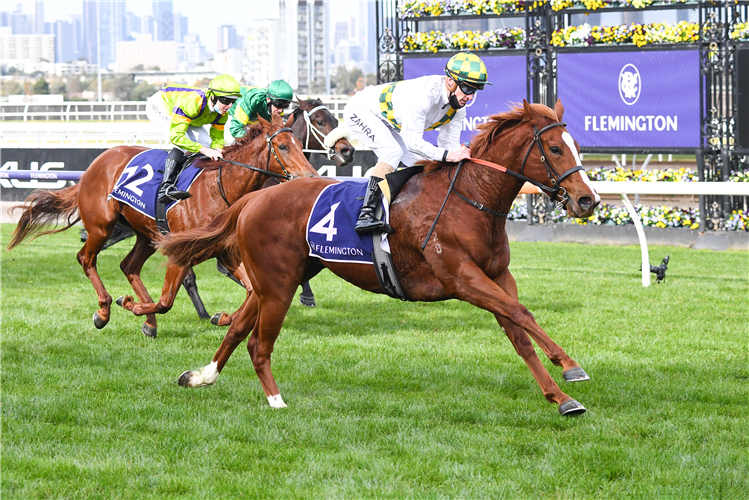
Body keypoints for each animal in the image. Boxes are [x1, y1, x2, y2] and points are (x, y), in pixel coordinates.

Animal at [8, 115, 318, 338]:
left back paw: (150, 323)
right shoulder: (181, 255)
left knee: (129, 266)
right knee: (86, 258)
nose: (311, 177)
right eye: (282, 146)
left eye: (300, 145)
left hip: (147, 235)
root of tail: (94, 165)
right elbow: (167, 300)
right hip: (101, 226)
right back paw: (105, 310)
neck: (218, 188)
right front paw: (128, 304)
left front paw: (222, 317)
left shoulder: (223, 252)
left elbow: (252, 290)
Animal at [159, 99, 600, 416]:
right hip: (278, 285)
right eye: (555, 148)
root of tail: (253, 199)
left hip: (275, 281)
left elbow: (519, 331)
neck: (470, 199)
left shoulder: (497, 276)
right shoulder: (462, 278)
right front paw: (569, 365)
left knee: (237, 329)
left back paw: (201, 376)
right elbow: (522, 314)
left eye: (576, 146)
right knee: (258, 343)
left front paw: (560, 398)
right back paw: (276, 400)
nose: (587, 200)